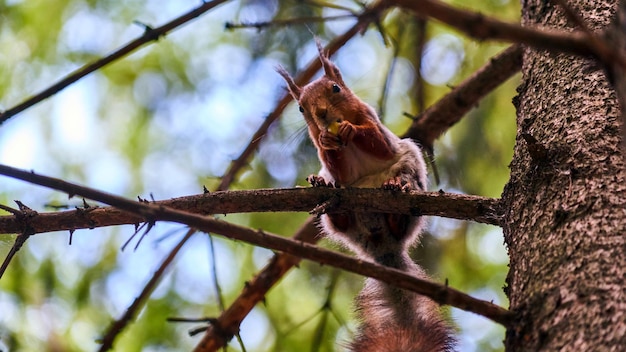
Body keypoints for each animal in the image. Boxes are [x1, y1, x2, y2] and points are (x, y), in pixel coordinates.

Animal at [278, 40, 454, 350]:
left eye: (336, 88)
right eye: (300, 108)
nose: (321, 113)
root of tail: (381, 247)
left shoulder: (376, 127)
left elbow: (378, 143)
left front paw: (351, 130)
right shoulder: (340, 171)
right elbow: (341, 171)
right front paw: (327, 140)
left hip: (410, 165)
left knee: (402, 209)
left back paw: (397, 196)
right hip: (341, 219)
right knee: (340, 219)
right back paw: (329, 196)